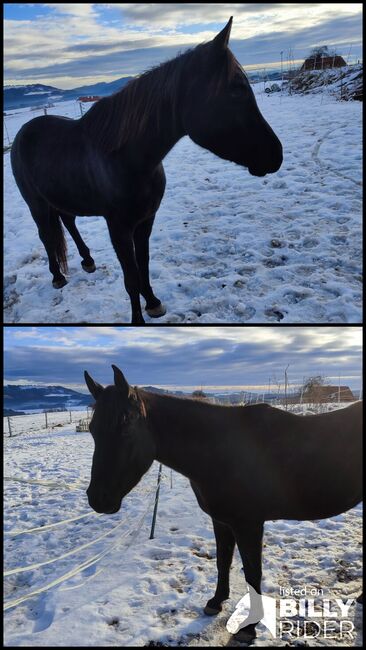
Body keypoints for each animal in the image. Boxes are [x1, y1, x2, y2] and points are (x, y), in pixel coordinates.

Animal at [10, 19, 282, 322]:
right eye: (236, 91)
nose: (276, 155)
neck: (128, 160)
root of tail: (22, 133)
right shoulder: (118, 228)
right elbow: (130, 277)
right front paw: (137, 318)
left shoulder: (145, 221)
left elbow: (144, 265)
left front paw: (152, 302)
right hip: (35, 203)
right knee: (46, 235)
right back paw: (58, 277)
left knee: (68, 221)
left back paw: (88, 261)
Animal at [84, 364, 362, 636]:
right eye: (92, 430)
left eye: (126, 425)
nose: (98, 499)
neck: (224, 450)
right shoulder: (222, 521)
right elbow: (223, 561)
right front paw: (216, 602)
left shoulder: (249, 525)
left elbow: (252, 572)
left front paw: (249, 627)